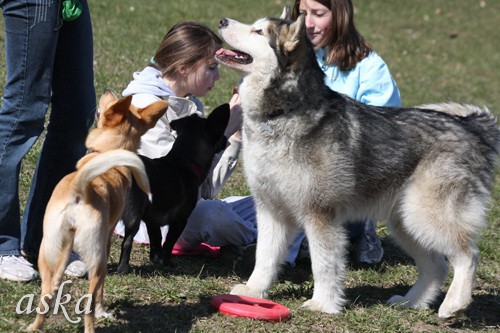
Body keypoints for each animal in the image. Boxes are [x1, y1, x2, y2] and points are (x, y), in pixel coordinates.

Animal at [28, 91, 169, 332]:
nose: (106, 92)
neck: (106, 154)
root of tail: (81, 188)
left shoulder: (65, 245)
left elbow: (58, 275)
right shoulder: (108, 236)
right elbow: (101, 291)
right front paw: (104, 311)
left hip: (47, 250)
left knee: (45, 295)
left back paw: (35, 325)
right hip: (98, 260)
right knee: (90, 303)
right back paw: (93, 323)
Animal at [118, 104, 231, 272]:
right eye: (221, 134)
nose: (226, 140)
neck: (183, 161)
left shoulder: (152, 219)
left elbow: (157, 239)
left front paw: (157, 258)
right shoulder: (180, 220)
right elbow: (169, 242)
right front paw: (167, 262)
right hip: (133, 216)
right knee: (126, 242)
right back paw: (123, 268)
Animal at [217, 11, 500, 316]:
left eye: (258, 32)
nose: (221, 21)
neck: (282, 113)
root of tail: (470, 127)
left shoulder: (320, 214)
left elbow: (324, 264)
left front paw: (323, 303)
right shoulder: (271, 208)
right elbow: (265, 257)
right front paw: (252, 291)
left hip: (426, 215)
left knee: (468, 255)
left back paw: (454, 304)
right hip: (406, 222)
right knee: (436, 266)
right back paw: (411, 301)